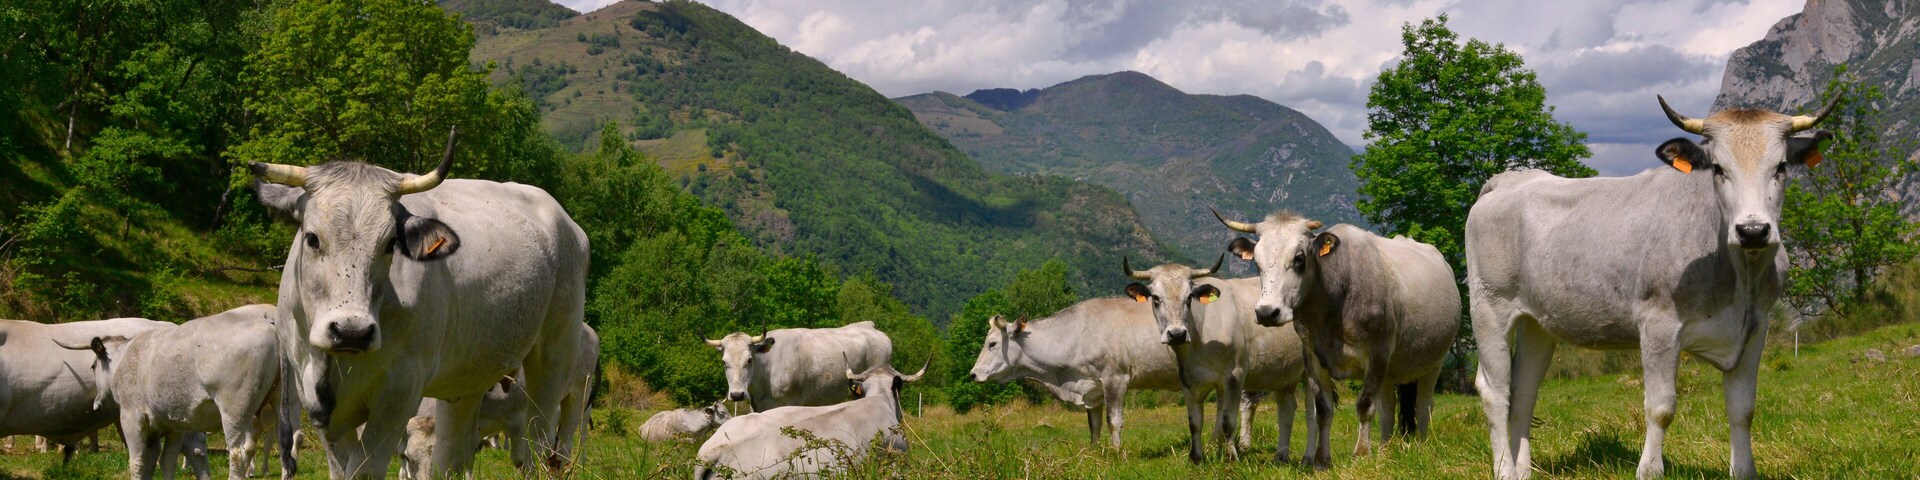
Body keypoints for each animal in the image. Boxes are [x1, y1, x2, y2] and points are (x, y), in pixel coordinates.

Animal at [55, 304, 284, 480]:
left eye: (93, 366)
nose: (96, 404)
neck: (127, 359)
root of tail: (266, 315)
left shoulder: (131, 418)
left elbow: (137, 463)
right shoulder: (174, 426)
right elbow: (164, 462)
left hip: (235, 411)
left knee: (237, 455)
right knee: (284, 448)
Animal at [250, 127, 590, 478]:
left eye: (391, 244)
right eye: (312, 238)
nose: (351, 332)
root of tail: (566, 221)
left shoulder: (400, 390)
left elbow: (365, 470)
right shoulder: (316, 399)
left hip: (555, 355)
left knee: (540, 441)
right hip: (469, 376)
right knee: (454, 455)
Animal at [967, 299, 1320, 462]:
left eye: (992, 343)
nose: (972, 374)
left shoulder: (1115, 378)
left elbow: (1114, 421)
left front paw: (1115, 452)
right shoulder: (1092, 388)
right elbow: (1094, 425)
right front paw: (1095, 451)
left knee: (1251, 405)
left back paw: (1243, 445)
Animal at [1216, 210, 1460, 464]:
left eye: (1299, 258)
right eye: (1256, 262)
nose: (1266, 312)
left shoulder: (1377, 353)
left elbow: (1365, 405)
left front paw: (1361, 454)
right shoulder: (1312, 357)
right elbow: (1323, 410)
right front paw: (1322, 460)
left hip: (1434, 361)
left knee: (1423, 406)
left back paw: (1421, 446)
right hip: (1390, 369)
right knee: (1388, 409)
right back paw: (1383, 453)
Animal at [1463, 96, 1835, 480]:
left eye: (1781, 166)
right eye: (1718, 168)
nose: (1753, 230)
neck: (1739, 275)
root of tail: (1508, 179)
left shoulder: (1755, 326)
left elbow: (1743, 407)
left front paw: (1744, 470)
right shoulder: (1658, 324)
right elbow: (1661, 407)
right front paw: (1650, 469)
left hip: (1537, 322)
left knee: (1523, 391)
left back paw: (1522, 470)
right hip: (1489, 308)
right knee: (1495, 392)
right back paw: (1505, 470)